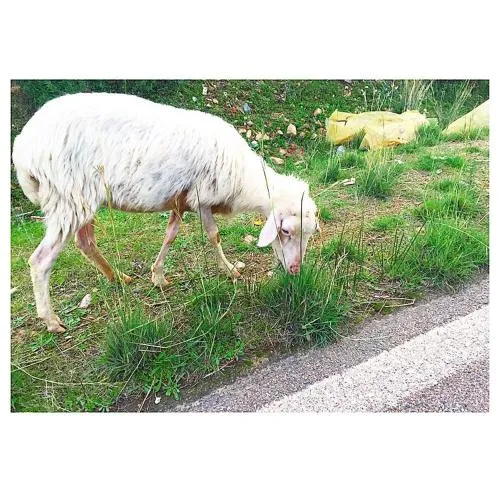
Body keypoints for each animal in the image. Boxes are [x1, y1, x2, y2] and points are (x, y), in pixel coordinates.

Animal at [12, 92, 319, 333]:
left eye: (310, 234)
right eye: (285, 231)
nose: (296, 269)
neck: (245, 179)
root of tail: (23, 150)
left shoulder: (180, 201)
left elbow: (170, 234)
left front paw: (157, 275)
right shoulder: (201, 198)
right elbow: (214, 235)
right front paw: (231, 270)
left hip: (82, 198)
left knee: (85, 242)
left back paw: (118, 278)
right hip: (69, 196)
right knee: (40, 261)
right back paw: (51, 320)